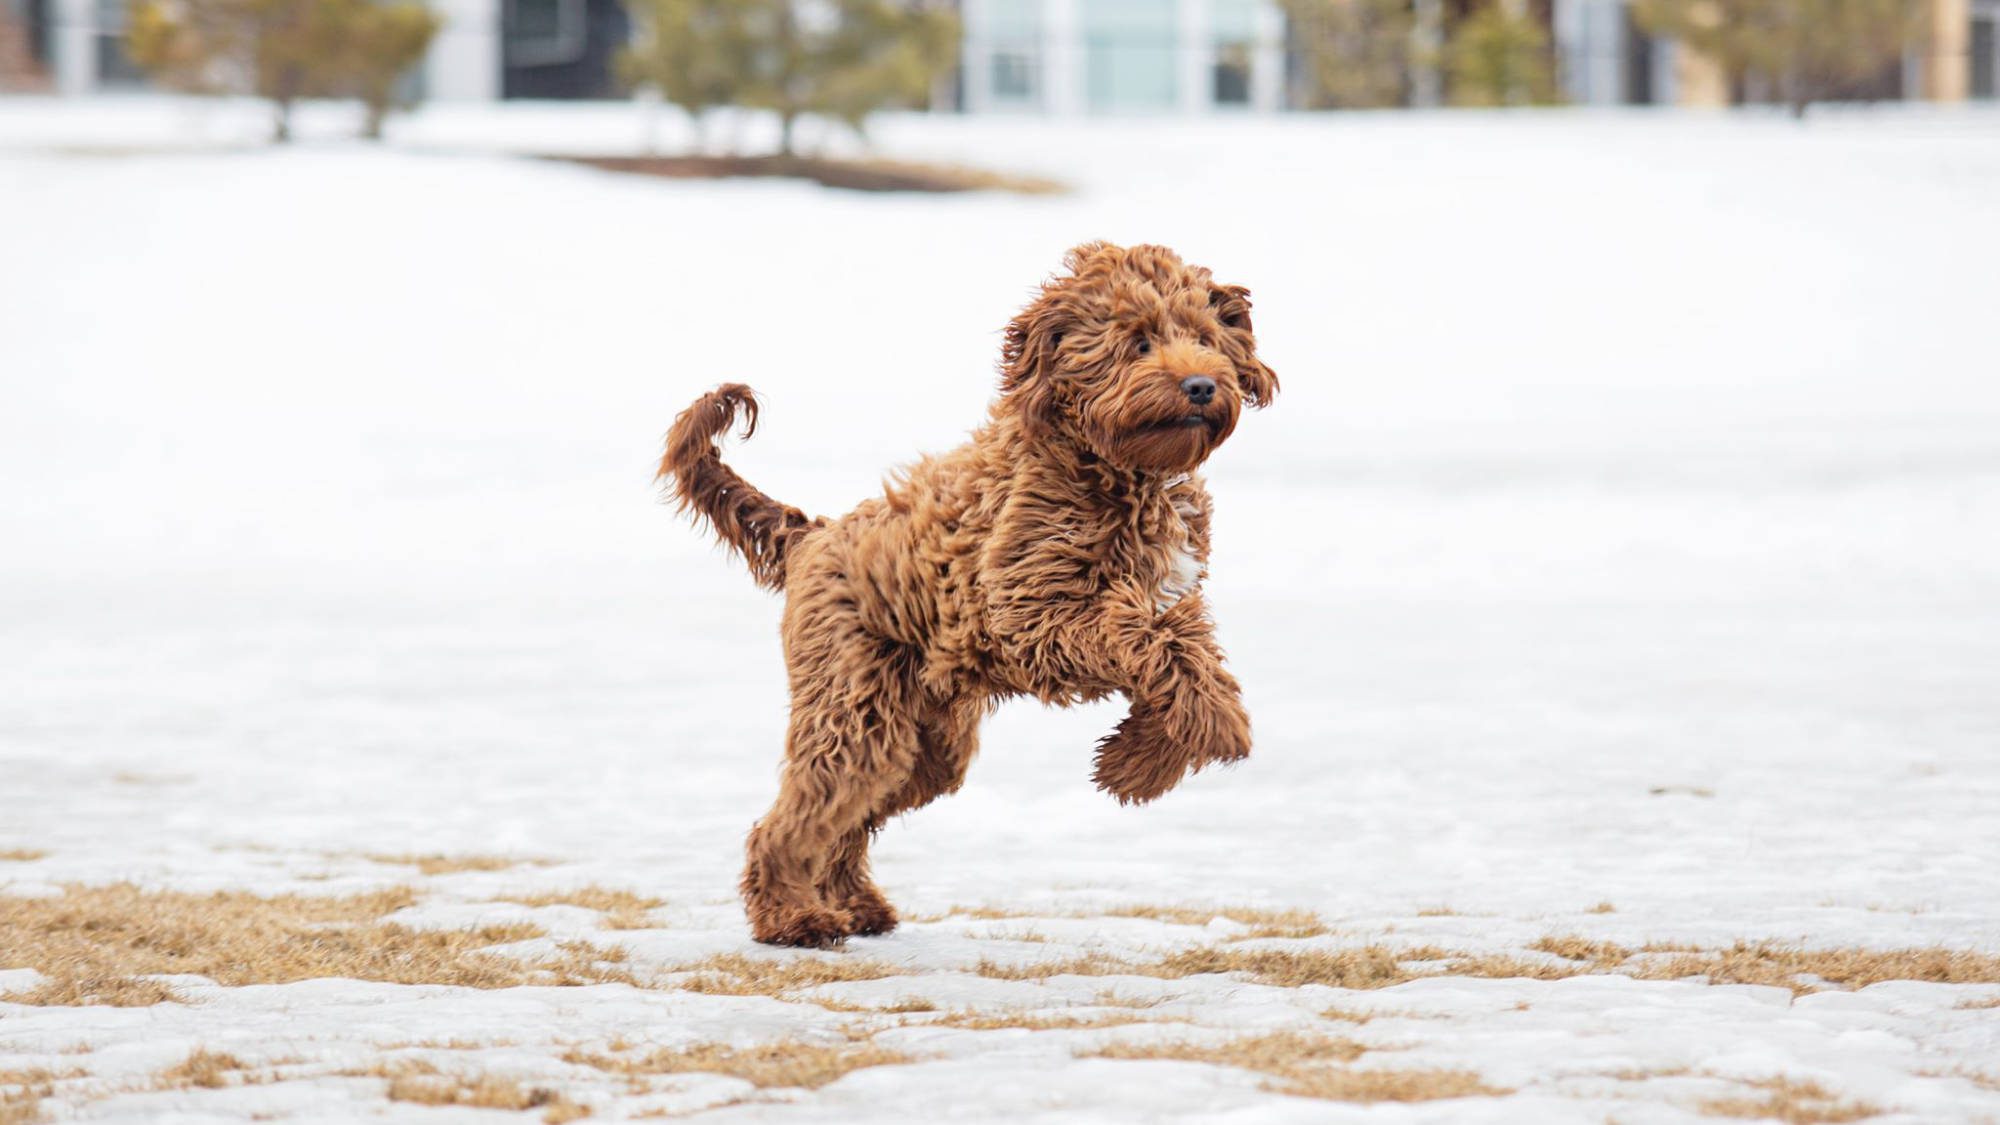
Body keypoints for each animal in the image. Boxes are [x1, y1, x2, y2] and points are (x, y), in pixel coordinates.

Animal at [660, 241, 1280, 940]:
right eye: (1139, 340)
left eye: (1204, 338)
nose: (1201, 386)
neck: (1120, 472)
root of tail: (813, 535)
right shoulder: (1029, 615)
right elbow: (1150, 645)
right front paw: (1159, 754)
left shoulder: (1177, 600)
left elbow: (1189, 664)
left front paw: (1137, 761)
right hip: (852, 703)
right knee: (796, 816)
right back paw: (792, 917)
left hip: (927, 743)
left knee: (851, 815)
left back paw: (855, 904)